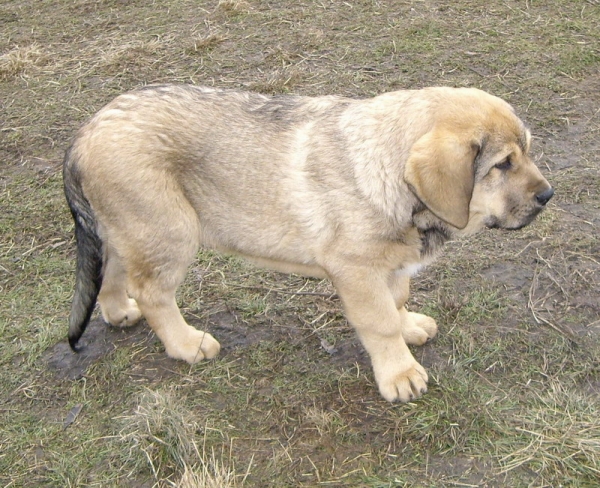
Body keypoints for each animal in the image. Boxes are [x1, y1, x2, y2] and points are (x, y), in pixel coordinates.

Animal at [62, 86, 552, 402]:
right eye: (503, 164)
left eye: (527, 151)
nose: (548, 196)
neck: (387, 171)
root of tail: (84, 132)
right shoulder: (356, 271)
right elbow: (380, 322)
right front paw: (399, 373)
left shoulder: (390, 267)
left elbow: (397, 301)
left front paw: (410, 326)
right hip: (169, 230)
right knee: (152, 293)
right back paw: (187, 344)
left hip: (128, 229)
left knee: (113, 272)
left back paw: (119, 313)